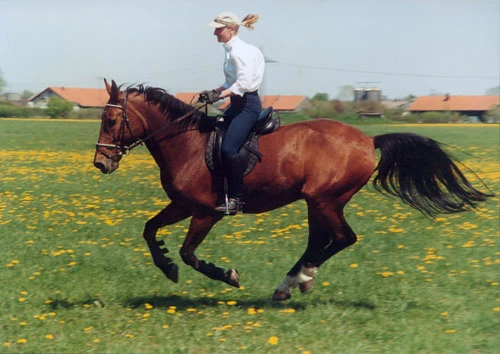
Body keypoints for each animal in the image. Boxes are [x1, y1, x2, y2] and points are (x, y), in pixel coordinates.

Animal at [93, 79, 488, 300]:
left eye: (111, 119)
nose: (101, 163)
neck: (187, 143)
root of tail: (368, 139)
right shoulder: (181, 205)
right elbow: (148, 230)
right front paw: (166, 266)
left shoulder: (206, 213)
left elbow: (189, 253)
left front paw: (228, 276)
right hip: (319, 202)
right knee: (321, 241)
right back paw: (291, 283)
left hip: (325, 200)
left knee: (342, 239)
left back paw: (300, 277)